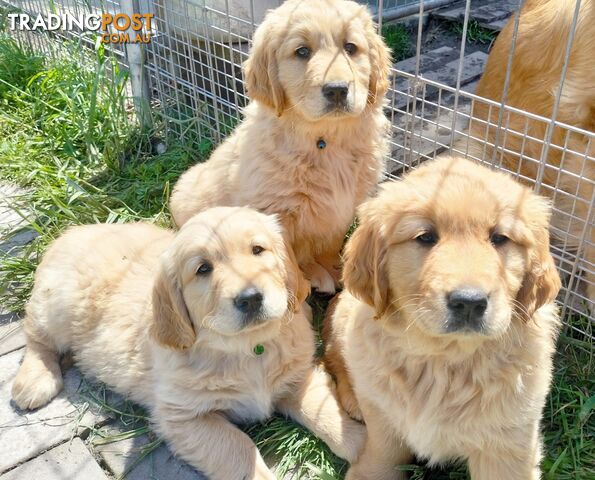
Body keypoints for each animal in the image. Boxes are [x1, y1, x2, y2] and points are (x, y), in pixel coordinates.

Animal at [11, 207, 366, 480]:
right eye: (203, 269)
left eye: (258, 250)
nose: (251, 298)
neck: (248, 349)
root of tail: (73, 232)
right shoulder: (184, 418)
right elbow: (240, 451)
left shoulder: (298, 378)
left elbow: (327, 415)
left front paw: (364, 446)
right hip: (54, 307)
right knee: (35, 335)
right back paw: (35, 380)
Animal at [170, 0, 394, 292]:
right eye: (302, 51)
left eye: (350, 47)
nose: (337, 89)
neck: (325, 140)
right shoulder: (275, 212)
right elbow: (287, 259)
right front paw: (306, 281)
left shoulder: (343, 206)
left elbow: (330, 241)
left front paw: (333, 267)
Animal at [326, 156, 564, 478]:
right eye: (425, 237)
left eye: (500, 238)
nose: (469, 302)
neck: (444, 360)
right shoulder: (384, 419)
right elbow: (382, 454)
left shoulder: (508, 442)